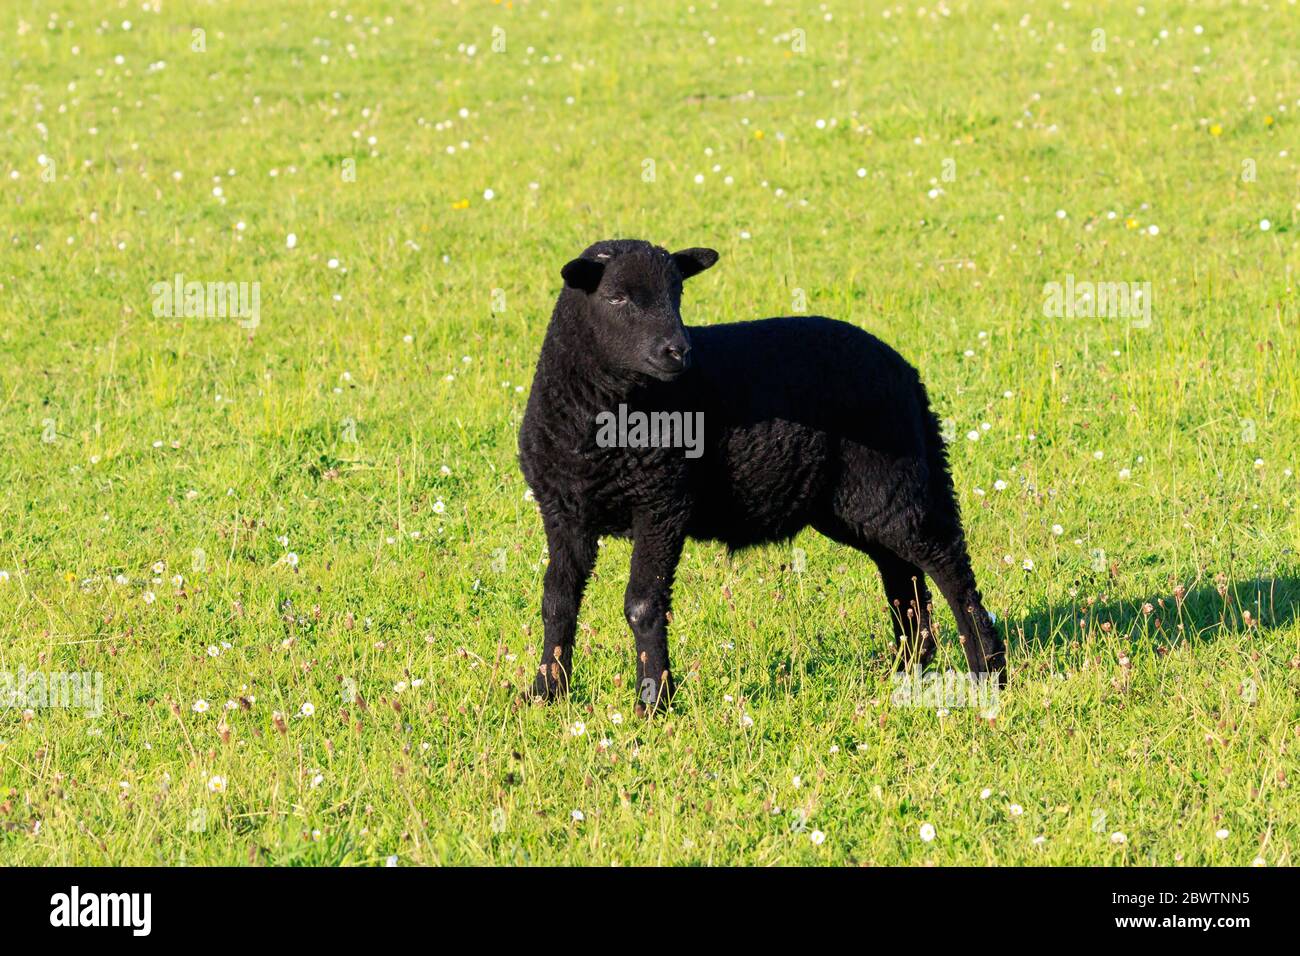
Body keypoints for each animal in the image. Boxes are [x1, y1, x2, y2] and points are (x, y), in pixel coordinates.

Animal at [517, 243, 1003, 712]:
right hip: (856, 502)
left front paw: (653, 702)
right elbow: (557, 603)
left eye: (678, 293)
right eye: (616, 298)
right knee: (902, 571)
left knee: (947, 563)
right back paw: (907, 668)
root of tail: (905, 371)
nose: (679, 352)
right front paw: (544, 694)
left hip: (891, 482)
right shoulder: (563, 512)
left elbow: (642, 604)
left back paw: (987, 669)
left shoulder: (662, 503)